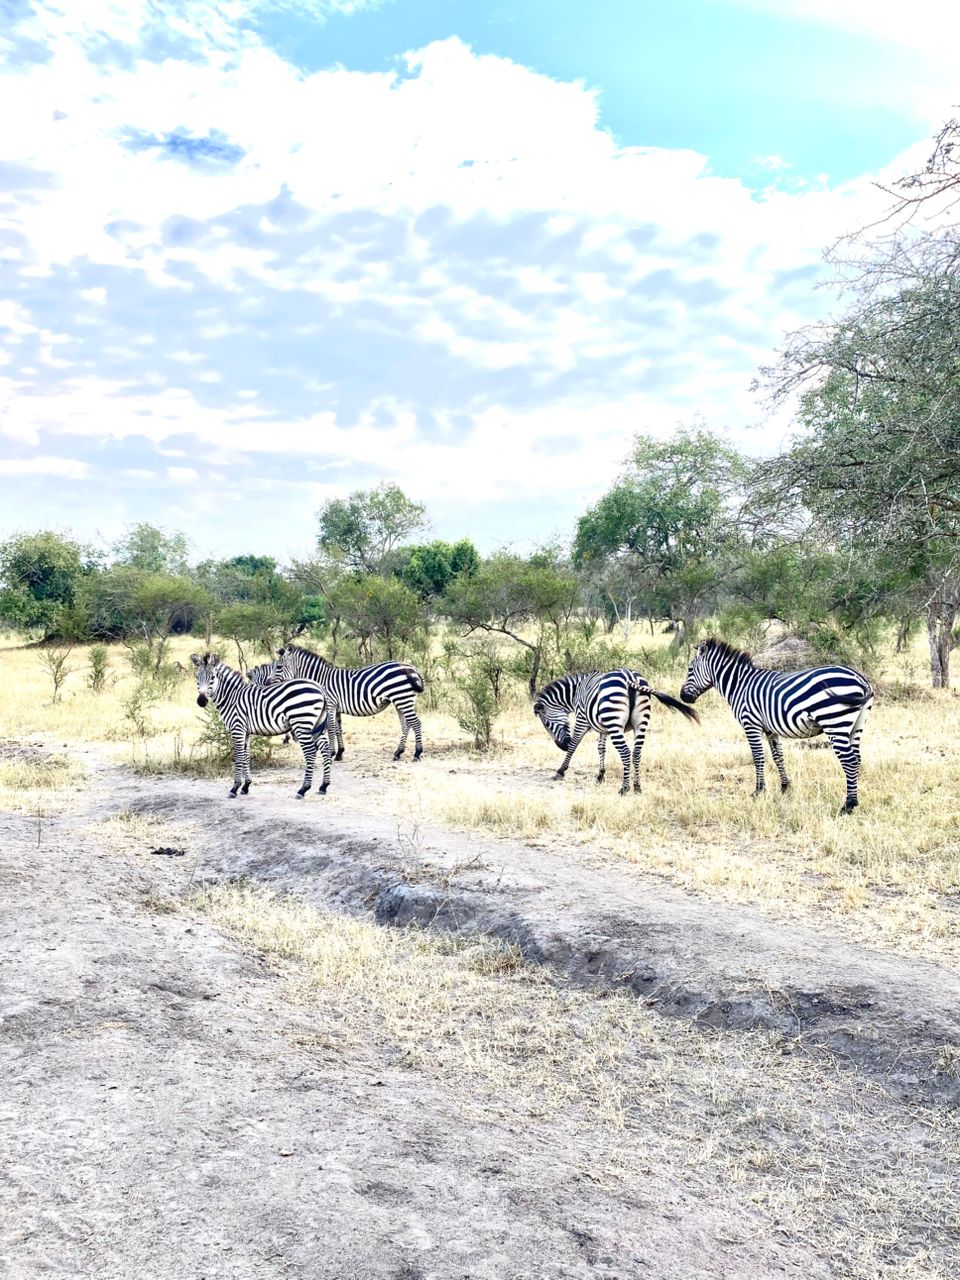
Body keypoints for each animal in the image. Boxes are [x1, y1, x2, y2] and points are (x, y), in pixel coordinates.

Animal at [191, 652, 331, 799]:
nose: (201, 701)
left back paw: (303, 789)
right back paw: (323, 786)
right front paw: (246, 786)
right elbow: (245, 756)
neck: (231, 697)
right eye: (197, 677)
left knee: (310, 752)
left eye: (213, 678)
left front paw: (234, 788)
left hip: (301, 723)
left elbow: (238, 756)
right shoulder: (245, 731)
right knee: (325, 749)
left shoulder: (237, 728)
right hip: (316, 725)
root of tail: (319, 687)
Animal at [274, 644, 425, 762]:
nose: (269, 682)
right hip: (400, 700)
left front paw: (331, 753)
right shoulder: (336, 708)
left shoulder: (330, 704)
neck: (321, 679)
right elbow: (338, 729)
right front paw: (339, 753)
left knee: (416, 723)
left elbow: (331, 728)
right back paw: (398, 753)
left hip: (403, 698)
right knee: (406, 725)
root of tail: (412, 668)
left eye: (279, 667)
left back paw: (417, 754)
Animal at [533, 669, 699, 795]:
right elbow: (601, 748)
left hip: (615, 723)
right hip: (640, 723)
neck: (575, 693)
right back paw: (637, 787)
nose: (562, 746)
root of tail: (630, 678)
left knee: (625, 752)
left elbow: (575, 744)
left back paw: (624, 788)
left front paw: (560, 771)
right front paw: (600, 775)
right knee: (636, 752)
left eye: (546, 724)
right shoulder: (603, 728)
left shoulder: (582, 719)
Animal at [679, 638, 873, 813]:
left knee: (849, 760)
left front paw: (758, 791)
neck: (739, 685)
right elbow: (778, 756)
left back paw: (848, 805)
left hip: (835, 723)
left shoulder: (751, 724)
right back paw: (853, 800)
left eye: (690, 670)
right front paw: (785, 786)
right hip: (856, 727)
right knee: (857, 759)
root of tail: (860, 679)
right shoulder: (770, 730)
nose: (682, 697)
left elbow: (758, 757)